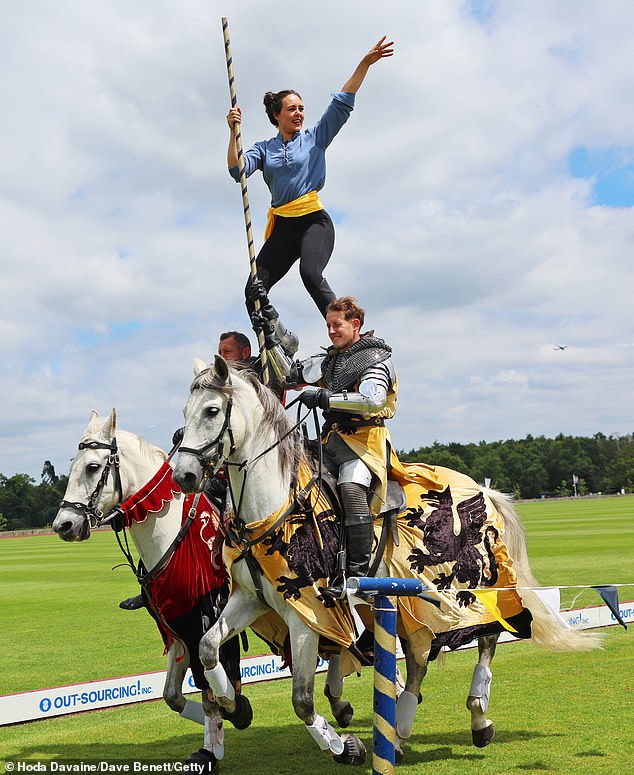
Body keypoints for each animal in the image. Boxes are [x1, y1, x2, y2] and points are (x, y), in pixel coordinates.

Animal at [172, 360, 596, 768]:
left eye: (212, 411)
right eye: (185, 412)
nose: (184, 475)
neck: (277, 507)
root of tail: (483, 489)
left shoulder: (307, 616)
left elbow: (302, 701)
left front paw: (345, 747)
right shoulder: (250, 599)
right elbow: (208, 648)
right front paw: (231, 703)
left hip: (474, 588)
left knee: (487, 636)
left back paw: (477, 717)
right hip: (411, 602)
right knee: (420, 659)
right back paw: (403, 728)